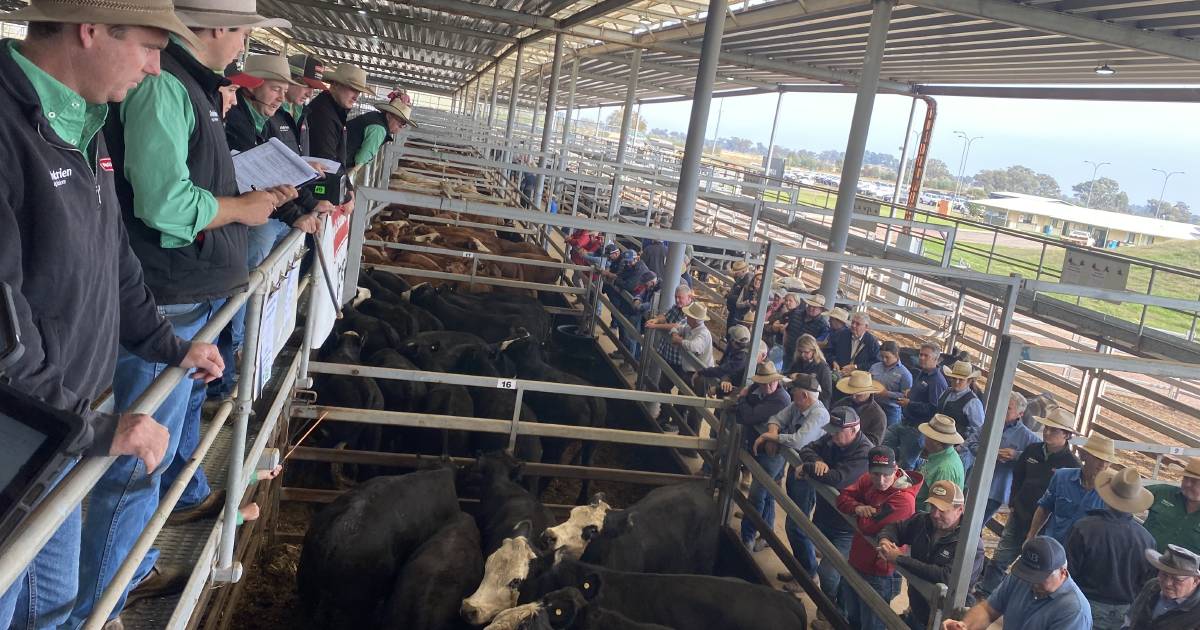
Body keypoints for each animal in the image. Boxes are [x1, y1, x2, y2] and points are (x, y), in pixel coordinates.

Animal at [492, 331, 604, 504]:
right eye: (514, 334)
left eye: (518, 342)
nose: (501, 344)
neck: (531, 365)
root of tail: (590, 398)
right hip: (591, 443)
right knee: (587, 467)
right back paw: (581, 499)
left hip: (558, 442)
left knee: (552, 467)